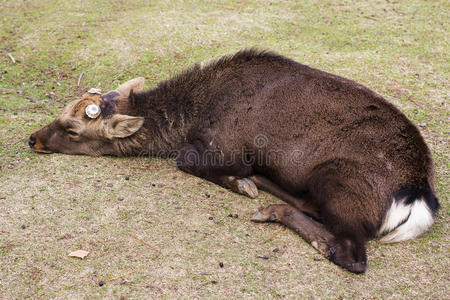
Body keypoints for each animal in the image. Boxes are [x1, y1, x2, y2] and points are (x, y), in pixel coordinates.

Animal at [29, 50, 440, 274]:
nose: (32, 138)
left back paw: (269, 207)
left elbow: (187, 160)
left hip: (338, 180)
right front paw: (245, 179)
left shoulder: (221, 144)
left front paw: (238, 180)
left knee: (351, 253)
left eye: (72, 131)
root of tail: (419, 195)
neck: (193, 114)